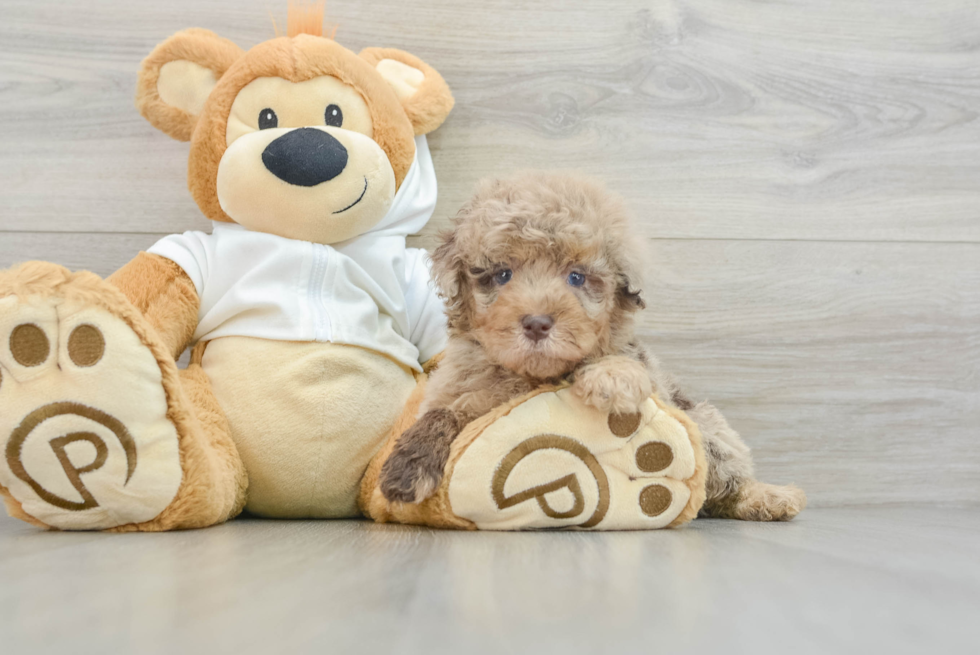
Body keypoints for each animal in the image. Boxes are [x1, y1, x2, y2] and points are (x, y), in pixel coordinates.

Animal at [378, 173, 808, 524]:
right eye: (502, 275)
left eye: (576, 278)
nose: (537, 323)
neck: (531, 376)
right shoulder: (457, 389)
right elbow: (445, 413)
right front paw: (406, 469)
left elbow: (612, 360)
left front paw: (611, 377)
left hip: (708, 427)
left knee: (723, 483)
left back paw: (768, 498)